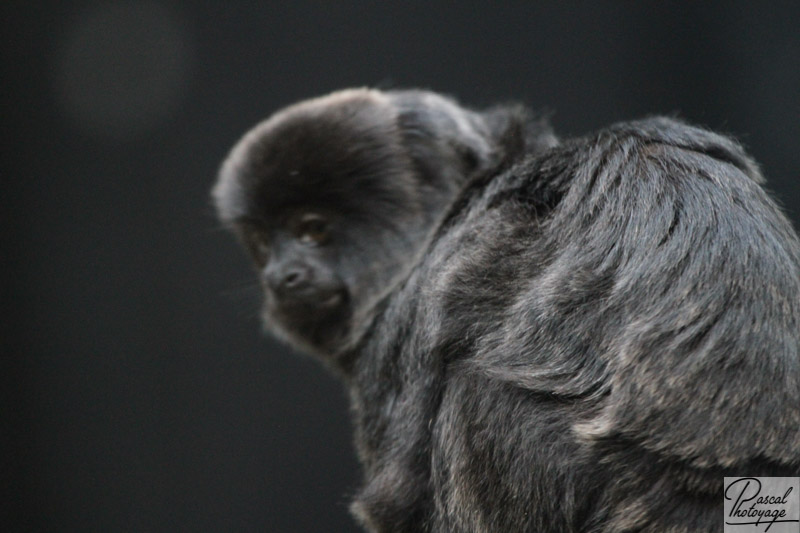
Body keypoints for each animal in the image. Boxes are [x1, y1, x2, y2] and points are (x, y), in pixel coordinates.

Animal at [212, 88, 800, 532]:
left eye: (312, 230)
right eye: (265, 242)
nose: (283, 275)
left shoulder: (415, 310)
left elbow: (398, 494)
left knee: (476, 394)